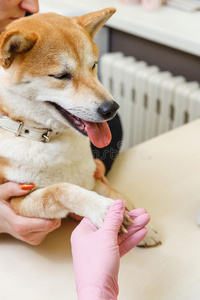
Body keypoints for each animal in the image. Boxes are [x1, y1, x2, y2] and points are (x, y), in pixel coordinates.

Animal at [0, 8, 160, 246]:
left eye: (93, 65)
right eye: (61, 75)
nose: (111, 108)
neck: (46, 138)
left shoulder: (91, 179)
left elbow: (119, 195)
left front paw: (144, 229)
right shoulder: (18, 199)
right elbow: (61, 189)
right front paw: (103, 210)